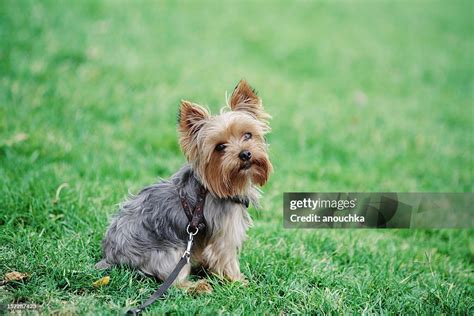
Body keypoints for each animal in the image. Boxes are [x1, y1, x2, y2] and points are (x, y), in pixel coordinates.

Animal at [95, 80, 272, 292]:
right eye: (220, 147)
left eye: (247, 135)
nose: (245, 154)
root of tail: (112, 256)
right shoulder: (225, 232)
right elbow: (227, 258)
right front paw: (238, 282)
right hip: (170, 252)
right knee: (173, 282)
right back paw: (198, 287)